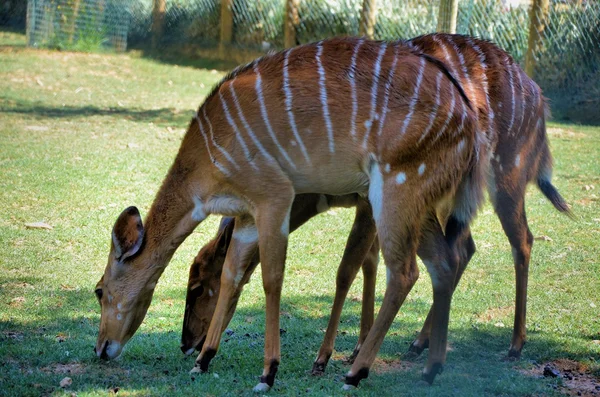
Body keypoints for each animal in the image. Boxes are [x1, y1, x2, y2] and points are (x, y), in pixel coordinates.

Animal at [95, 37, 488, 390]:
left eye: (99, 291)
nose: (101, 349)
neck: (205, 165)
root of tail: (468, 116)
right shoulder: (247, 216)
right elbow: (233, 274)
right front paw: (204, 360)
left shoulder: (274, 196)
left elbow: (273, 278)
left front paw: (268, 372)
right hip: (417, 202)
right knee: (443, 262)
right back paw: (430, 368)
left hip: (395, 191)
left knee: (405, 272)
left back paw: (355, 373)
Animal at [179, 34, 572, 384]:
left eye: (197, 286)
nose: (187, 344)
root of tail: (538, 95)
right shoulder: (367, 205)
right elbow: (369, 264)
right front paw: (357, 346)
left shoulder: (368, 201)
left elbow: (348, 270)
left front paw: (324, 358)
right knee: (463, 249)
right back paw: (419, 344)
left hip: (503, 178)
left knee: (521, 241)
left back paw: (514, 345)